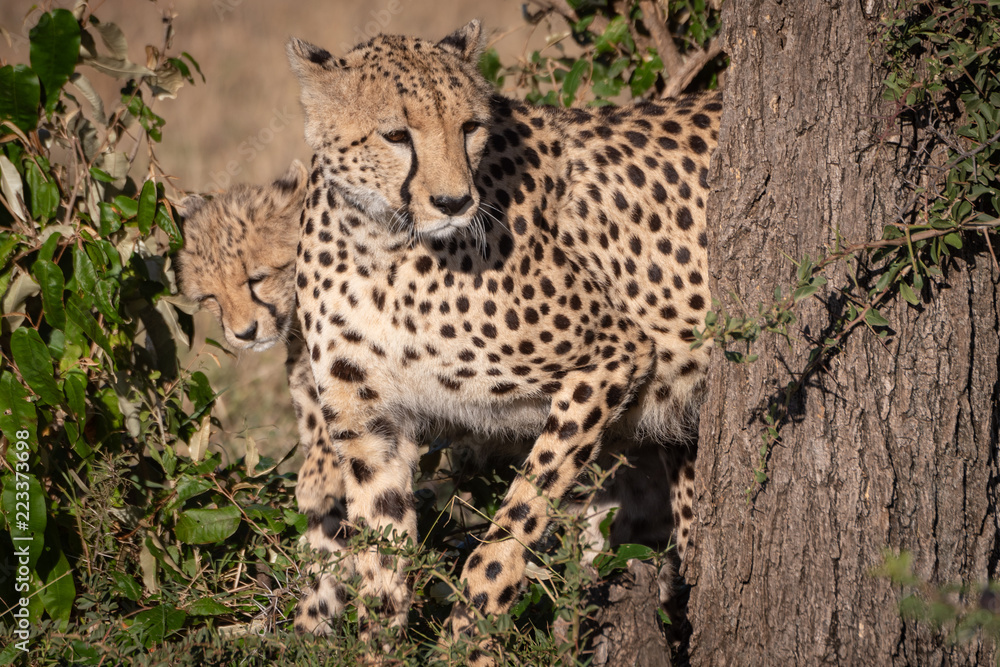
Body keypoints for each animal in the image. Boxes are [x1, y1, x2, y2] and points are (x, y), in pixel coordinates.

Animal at [285, 20, 718, 659]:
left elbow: (509, 530)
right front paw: (379, 646)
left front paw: (468, 638)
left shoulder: (613, 357)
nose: (454, 201)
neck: (382, 245)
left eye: (469, 127)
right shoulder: (371, 428)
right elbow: (379, 570)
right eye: (395, 134)